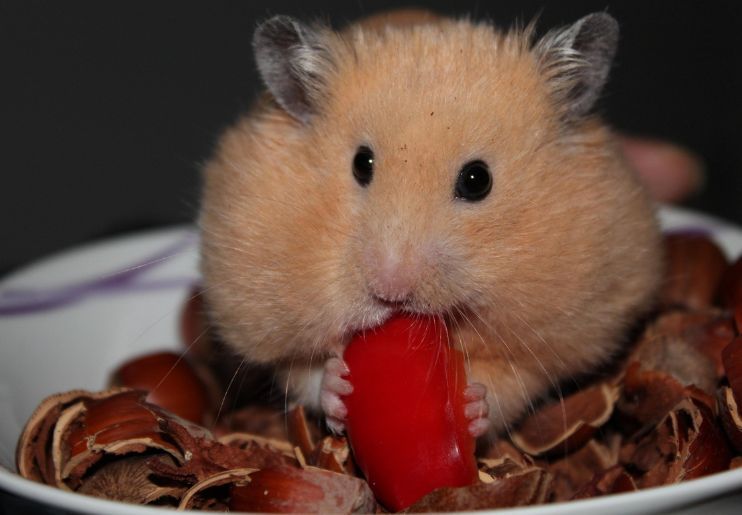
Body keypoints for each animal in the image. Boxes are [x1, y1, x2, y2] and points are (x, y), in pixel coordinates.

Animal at [198, 10, 663, 437]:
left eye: (477, 180)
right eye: (361, 164)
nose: (390, 292)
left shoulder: (552, 337)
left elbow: (511, 381)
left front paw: (473, 405)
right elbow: (301, 371)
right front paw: (337, 386)